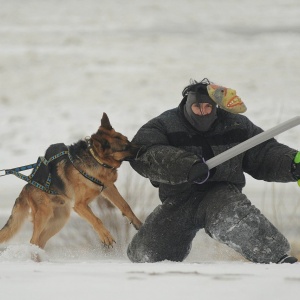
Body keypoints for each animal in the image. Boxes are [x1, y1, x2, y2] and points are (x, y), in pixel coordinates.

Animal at [0, 112, 142, 251]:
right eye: (124, 147)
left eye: (128, 139)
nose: (142, 148)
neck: (94, 158)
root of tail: (27, 186)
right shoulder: (80, 205)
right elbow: (96, 219)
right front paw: (105, 236)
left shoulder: (108, 188)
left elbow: (125, 205)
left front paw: (138, 223)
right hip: (45, 214)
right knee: (33, 241)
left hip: (59, 220)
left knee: (39, 241)